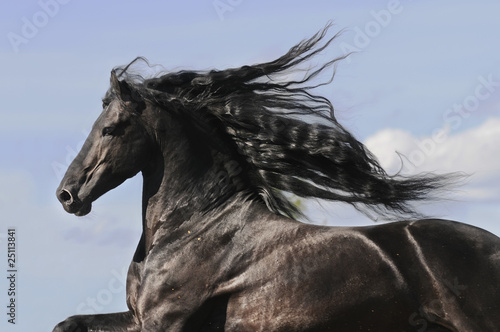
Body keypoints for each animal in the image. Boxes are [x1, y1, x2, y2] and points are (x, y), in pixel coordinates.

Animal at [54, 26, 500, 332]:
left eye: (111, 128)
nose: (67, 195)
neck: (194, 229)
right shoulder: (137, 317)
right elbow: (68, 323)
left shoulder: (163, 322)